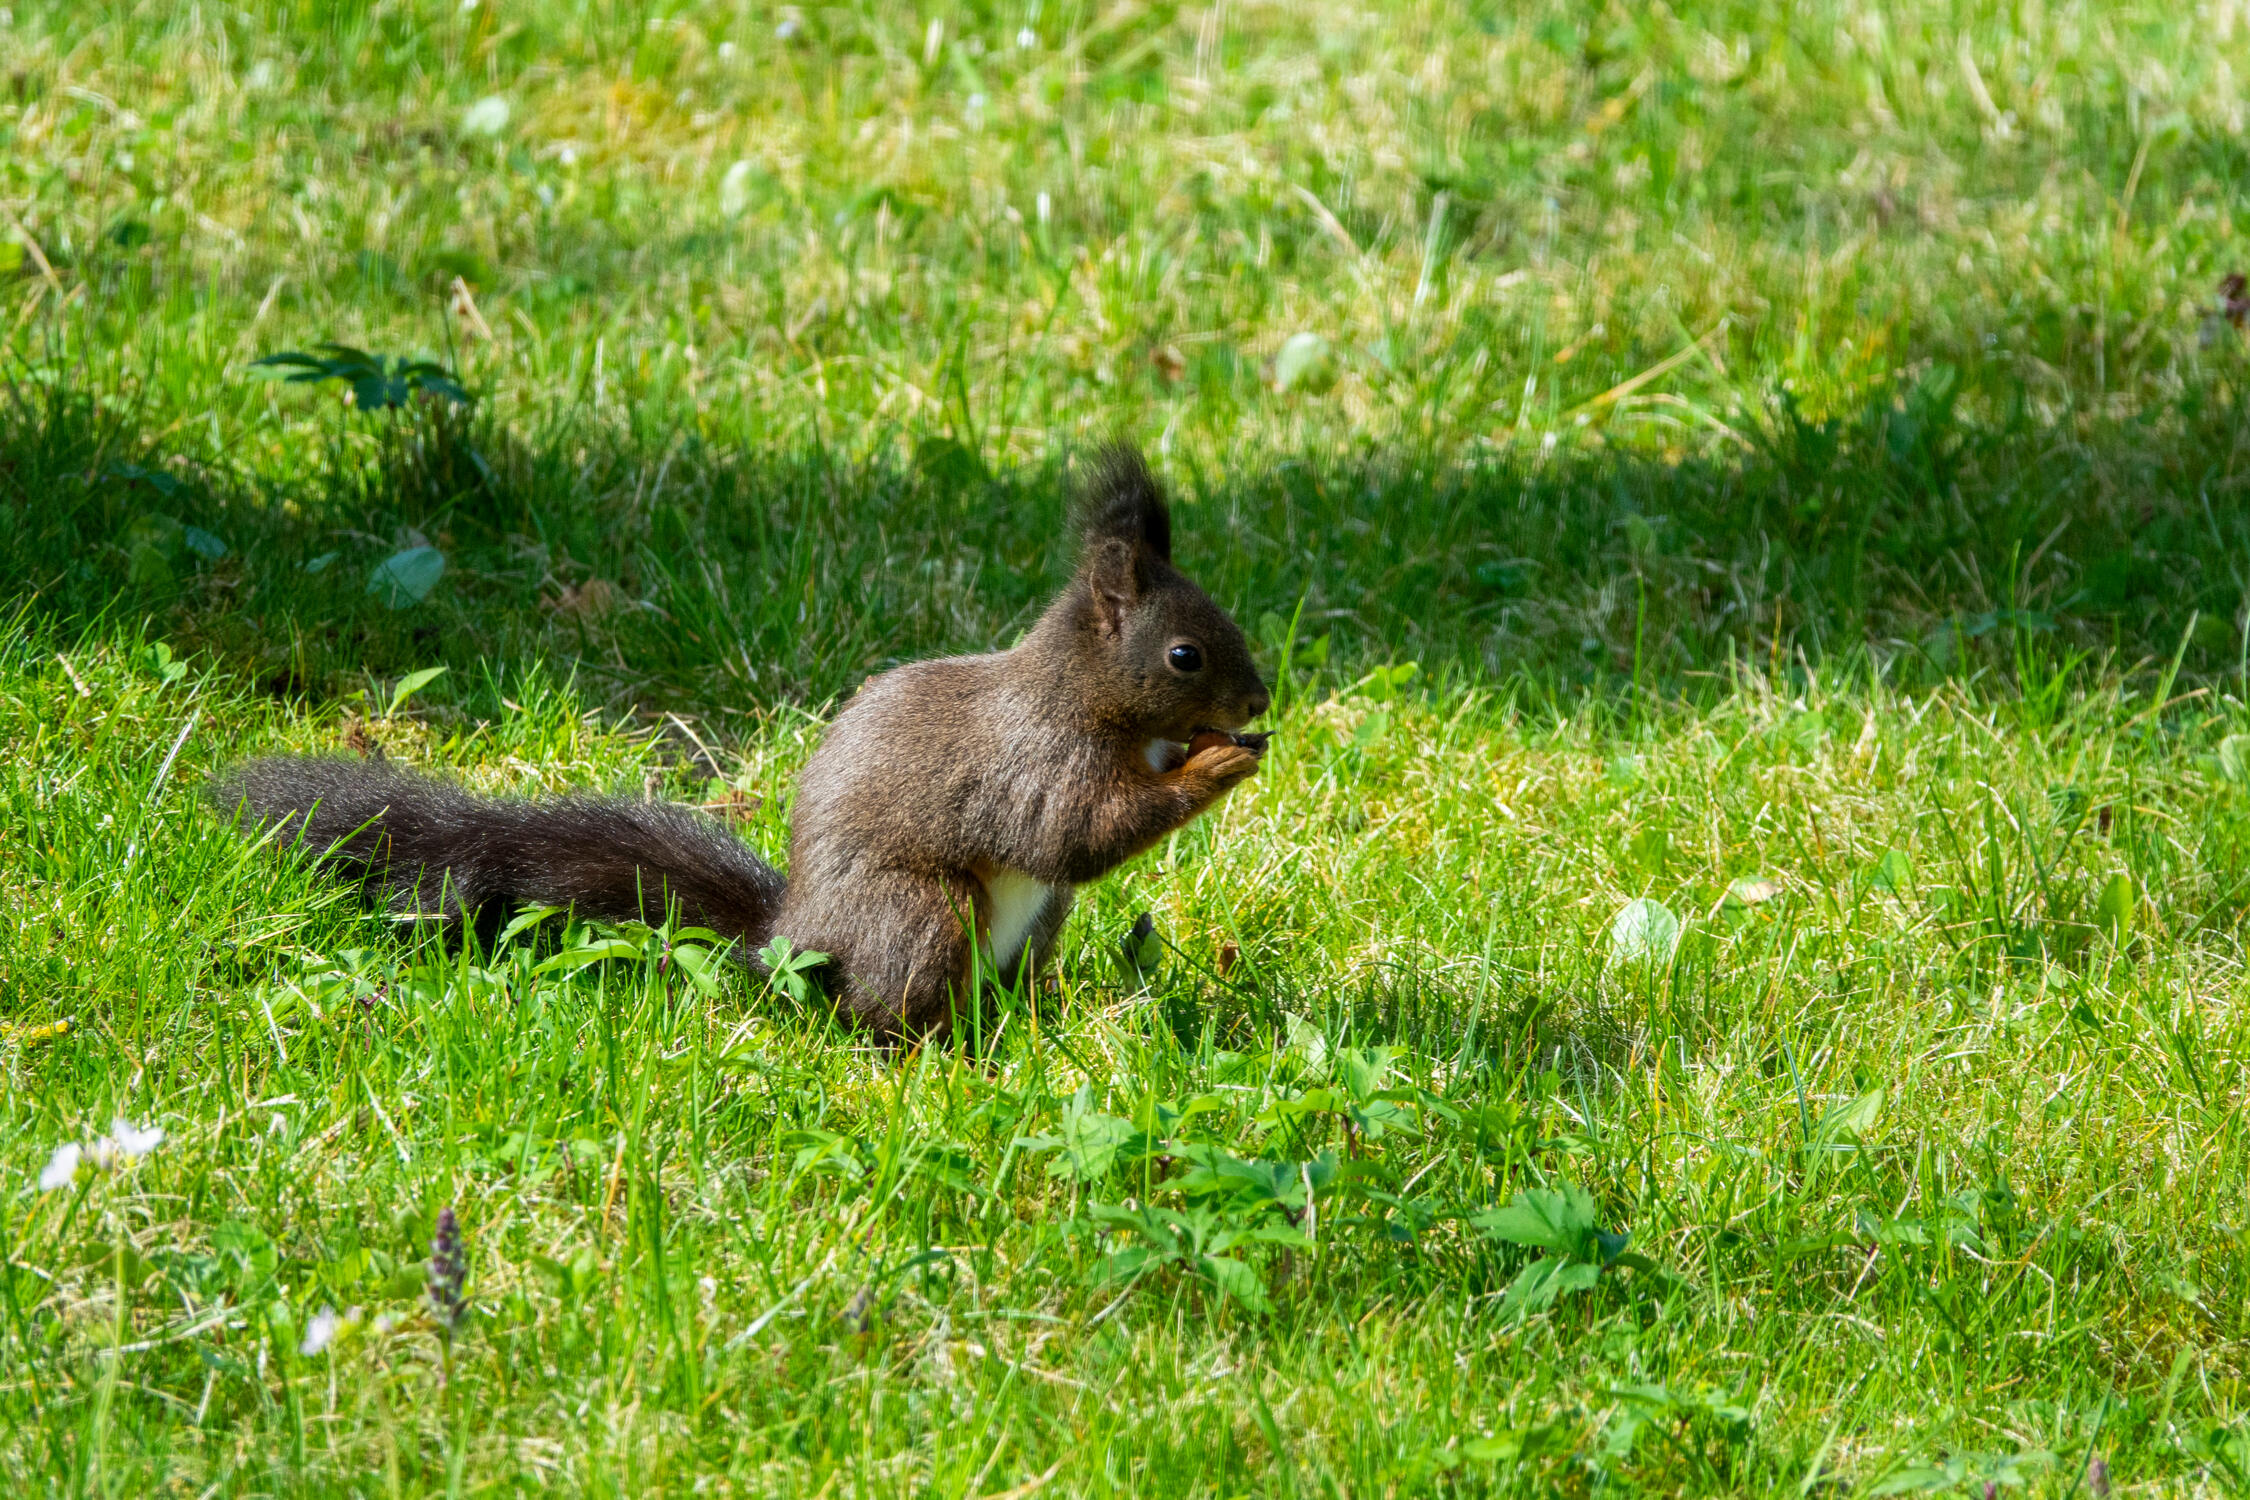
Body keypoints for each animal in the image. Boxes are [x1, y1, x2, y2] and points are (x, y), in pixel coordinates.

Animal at [214, 445, 1271, 1037]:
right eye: (1184, 655)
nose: (1264, 697)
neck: (1091, 700)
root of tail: (788, 944)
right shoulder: (1035, 762)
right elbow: (1072, 836)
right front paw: (1221, 760)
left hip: (1033, 922)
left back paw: (1034, 1016)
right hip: (920, 912)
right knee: (886, 1009)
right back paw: (936, 1050)